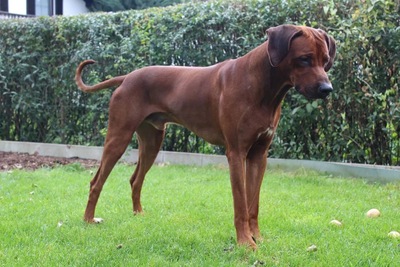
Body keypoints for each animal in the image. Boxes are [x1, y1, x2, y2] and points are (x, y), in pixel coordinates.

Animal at [74, 24, 334, 249]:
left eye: (325, 61)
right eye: (304, 58)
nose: (327, 89)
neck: (261, 84)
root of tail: (127, 76)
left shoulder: (258, 156)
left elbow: (254, 204)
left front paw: (257, 238)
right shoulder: (236, 153)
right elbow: (241, 204)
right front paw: (245, 243)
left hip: (152, 141)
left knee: (135, 179)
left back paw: (139, 214)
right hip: (118, 137)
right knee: (96, 182)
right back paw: (88, 220)